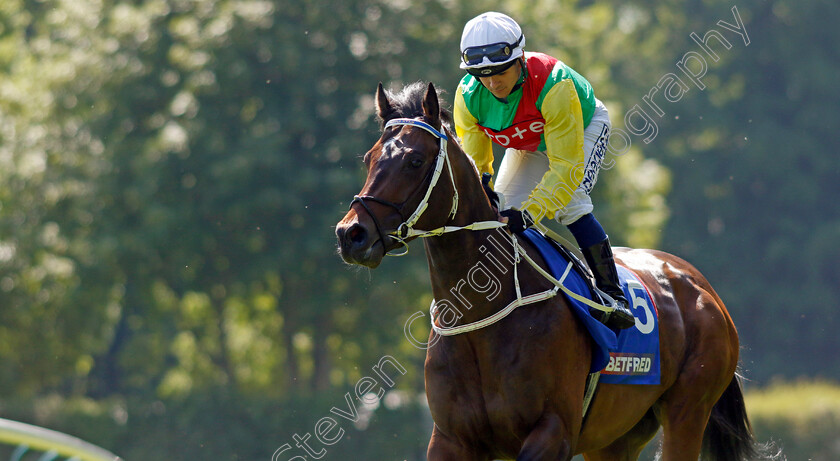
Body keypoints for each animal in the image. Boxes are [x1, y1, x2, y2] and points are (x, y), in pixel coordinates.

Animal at [332, 81, 772, 458]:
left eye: (414, 160)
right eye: (369, 158)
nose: (351, 233)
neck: (482, 316)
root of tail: (700, 284)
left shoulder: (553, 432)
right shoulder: (451, 439)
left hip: (688, 409)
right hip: (616, 437)